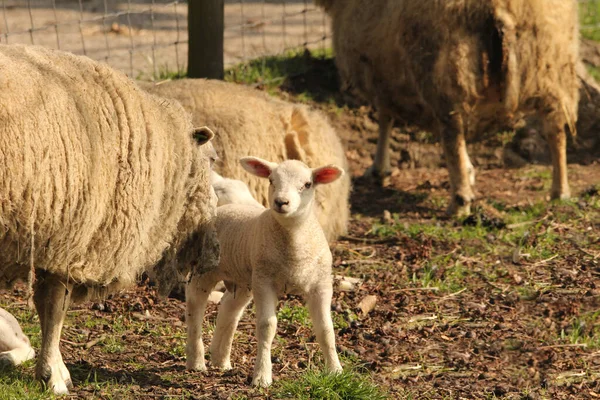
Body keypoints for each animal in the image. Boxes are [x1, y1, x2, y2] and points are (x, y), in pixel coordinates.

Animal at [185, 157, 344, 388]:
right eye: (271, 180)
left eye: (307, 184)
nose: (281, 202)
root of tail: (223, 209)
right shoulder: (265, 282)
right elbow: (267, 327)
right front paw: (262, 376)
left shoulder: (321, 284)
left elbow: (325, 329)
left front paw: (335, 371)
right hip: (205, 272)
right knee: (194, 307)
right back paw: (196, 361)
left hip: (244, 279)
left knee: (229, 309)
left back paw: (220, 360)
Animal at [316, 0, 580, 216]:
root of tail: (502, 7)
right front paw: (471, 170)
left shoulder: (379, 76)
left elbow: (384, 119)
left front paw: (379, 169)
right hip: (553, 68)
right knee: (556, 131)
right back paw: (560, 190)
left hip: (448, 74)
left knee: (452, 136)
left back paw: (459, 203)